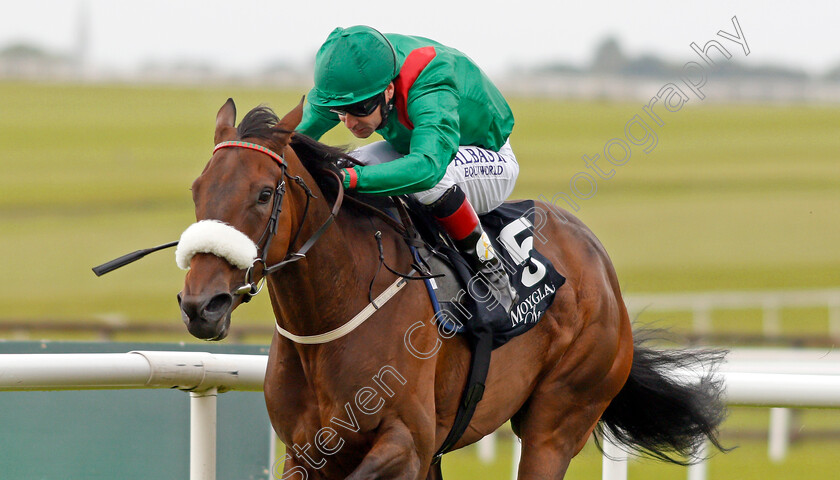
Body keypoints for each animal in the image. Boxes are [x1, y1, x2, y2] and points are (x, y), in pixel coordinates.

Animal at [179, 99, 728, 478]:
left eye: (263, 194)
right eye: (196, 190)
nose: (201, 305)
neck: (332, 317)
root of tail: (599, 259)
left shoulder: (407, 442)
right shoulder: (307, 450)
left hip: (560, 418)